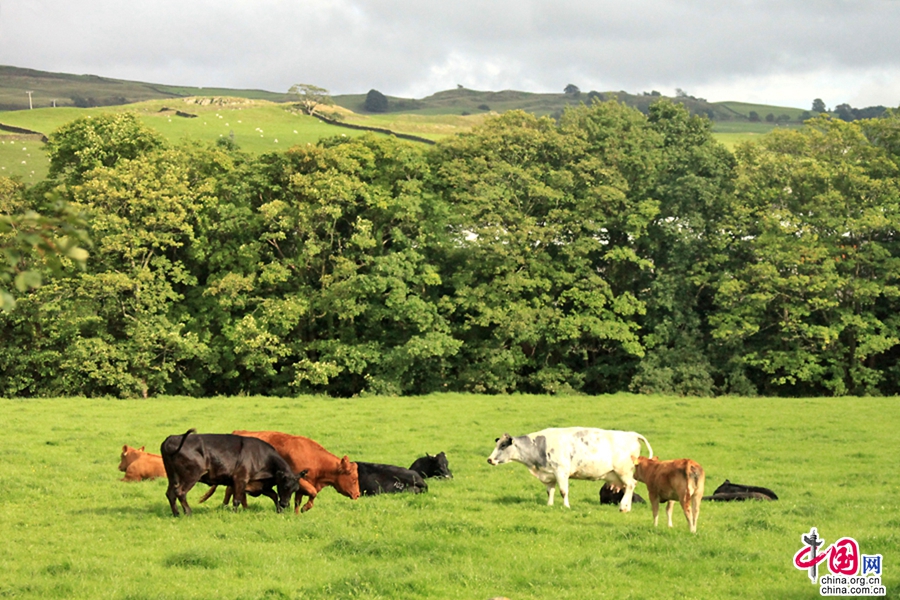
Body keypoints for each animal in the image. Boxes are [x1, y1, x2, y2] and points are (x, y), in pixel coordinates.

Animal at [162, 426, 302, 516]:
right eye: (285, 486)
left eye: (295, 489)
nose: (285, 504)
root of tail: (172, 438)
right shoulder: (240, 479)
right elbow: (237, 499)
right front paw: (234, 513)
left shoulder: (260, 484)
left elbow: (274, 495)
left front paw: (279, 511)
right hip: (191, 475)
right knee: (180, 492)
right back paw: (188, 513)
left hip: (172, 475)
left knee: (170, 493)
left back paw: (176, 513)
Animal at [201, 428, 362, 512]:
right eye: (354, 479)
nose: (358, 495)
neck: (314, 458)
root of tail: (237, 432)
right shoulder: (301, 480)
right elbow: (312, 493)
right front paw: (305, 508)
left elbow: (298, 499)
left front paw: (297, 513)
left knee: (232, 490)